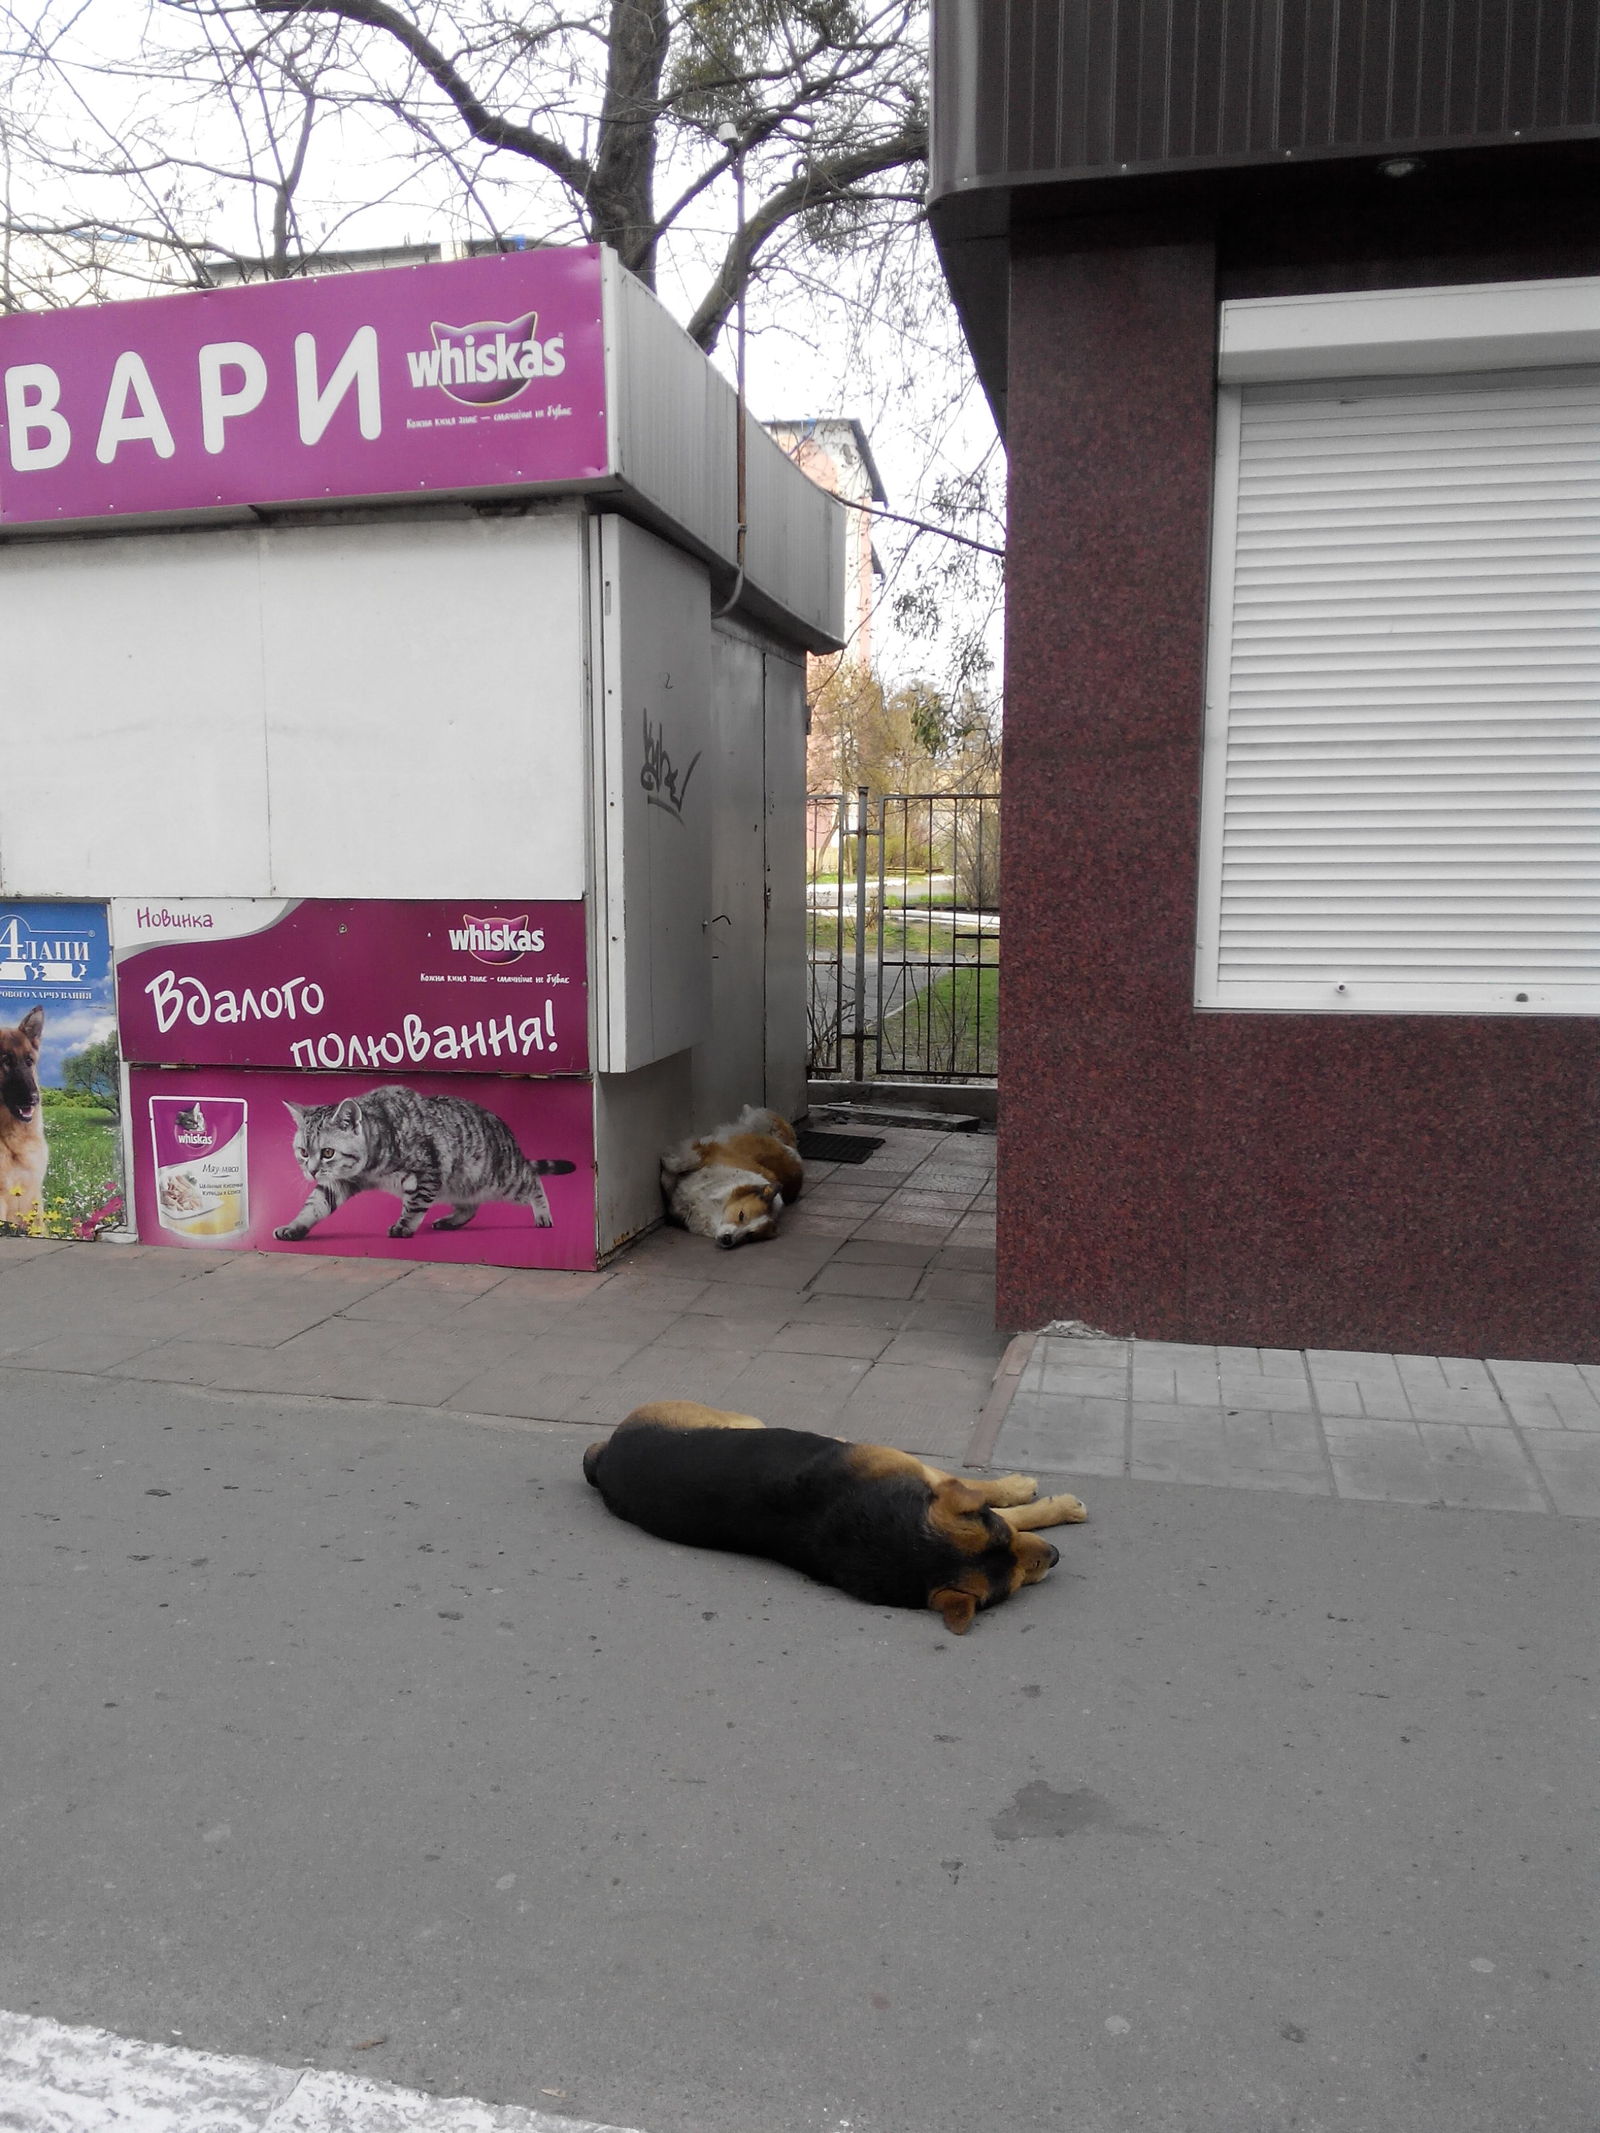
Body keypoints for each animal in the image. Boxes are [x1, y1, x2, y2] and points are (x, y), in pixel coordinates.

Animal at [580, 1399, 1092, 1629]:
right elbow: (1000, 1498)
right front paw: (1043, 1500)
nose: (1057, 1556)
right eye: (1017, 1581)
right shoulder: (923, 1474)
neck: (893, 1537)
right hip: (739, 1419)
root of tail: (605, 1458)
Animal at [657, 1109, 802, 1245]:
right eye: (741, 1215)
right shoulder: (708, 1154)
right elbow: (677, 1166)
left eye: (749, 1235)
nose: (728, 1239)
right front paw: (667, 1166)